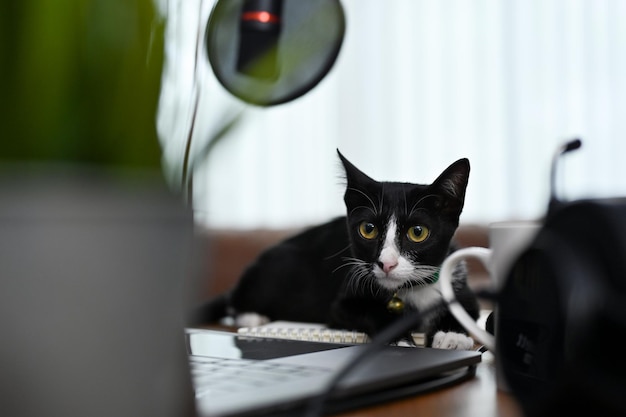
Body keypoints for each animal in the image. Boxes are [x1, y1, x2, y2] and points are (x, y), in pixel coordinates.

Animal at [194, 150, 478, 348]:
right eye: (368, 229)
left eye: (417, 232)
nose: (387, 263)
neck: (408, 291)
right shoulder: (343, 302)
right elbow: (368, 311)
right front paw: (400, 338)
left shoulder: (458, 282)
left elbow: (466, 310)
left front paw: (452, 336)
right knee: (235, 299)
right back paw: (253, 317)